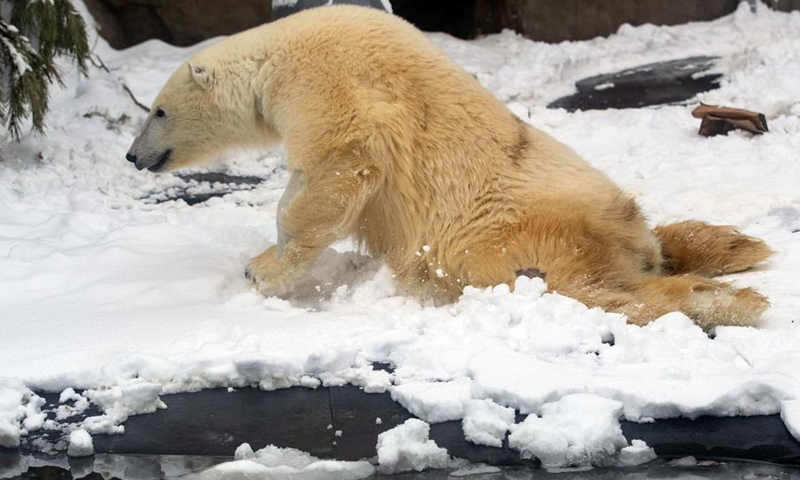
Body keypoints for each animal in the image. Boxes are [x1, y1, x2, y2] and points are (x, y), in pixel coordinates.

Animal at [128, 5, 772, 328]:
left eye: (157, 109)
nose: (133, 155)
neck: (275, 57)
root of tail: (628, 233)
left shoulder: (328, 86)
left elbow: (331, 175)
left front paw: (262, 270)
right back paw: (734, 249)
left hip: (512, 232)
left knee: (582, 288)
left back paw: (724, 301)